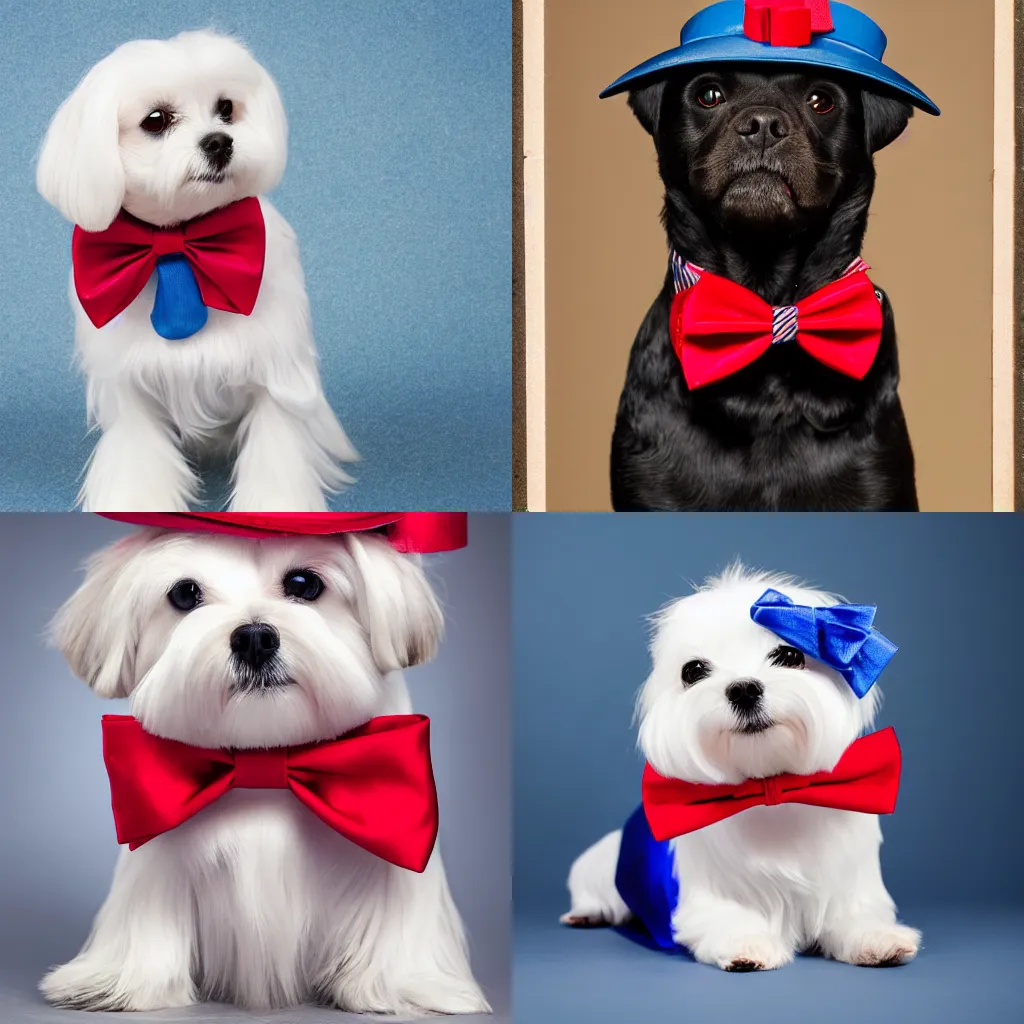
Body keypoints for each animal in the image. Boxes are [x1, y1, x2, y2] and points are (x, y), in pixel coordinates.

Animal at [37, 29, 358, 509]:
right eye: (155, 119)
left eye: (226, 108)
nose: (219, 141)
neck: (180, 244)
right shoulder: (131, 384)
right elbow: (138, 456)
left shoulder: (277, 373)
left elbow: (277, 451)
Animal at [39, 528, 487, 1015]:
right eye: (184, 594)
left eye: (303, 584)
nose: (254, 638)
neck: (267, 752)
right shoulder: (157, 845)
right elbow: (150, 916)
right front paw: (124, 984)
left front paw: (405, 987)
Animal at [561, 569, 921, 974]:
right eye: (693, 671)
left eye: (790, 655)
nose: (744, 689)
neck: (769, 784)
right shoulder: (706, 895)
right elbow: (725, 916)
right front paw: (746, 944)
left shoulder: (849, 881)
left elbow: (856, 914)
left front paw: (879, 938)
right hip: (601, 865)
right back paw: (584, 913)